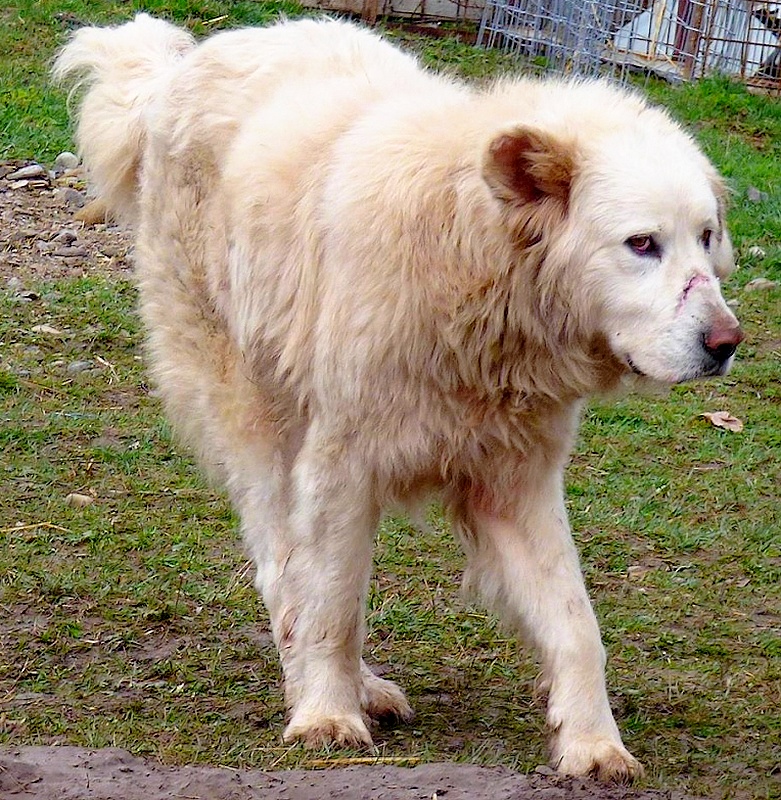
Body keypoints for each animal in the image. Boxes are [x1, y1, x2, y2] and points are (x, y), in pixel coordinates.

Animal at [53, 14, 736, 780]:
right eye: (641, 244)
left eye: (705, 237)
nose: (726, 342)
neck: (468, 266)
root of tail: (187, 61)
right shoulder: (342, 466)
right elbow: (333, 605)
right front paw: (326, 714)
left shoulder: (515, 481)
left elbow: (575, 620)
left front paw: (593, 743)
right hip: (252, 410)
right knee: (282, 565)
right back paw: (332, 684)